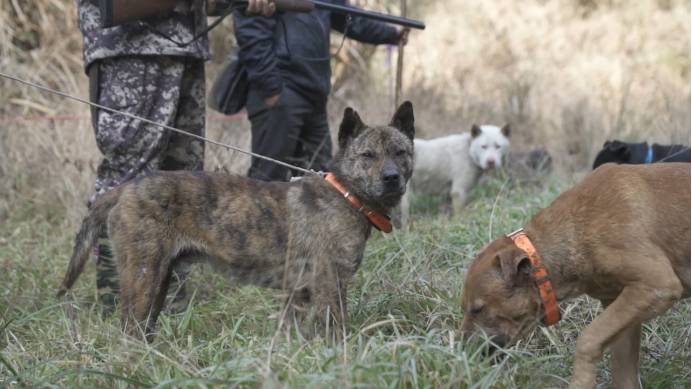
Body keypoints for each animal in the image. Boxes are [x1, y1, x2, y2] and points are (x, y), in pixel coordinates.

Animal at [58, 101, 416, 342]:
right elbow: (338, 333)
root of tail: (125, 188)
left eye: (400, 152)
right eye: (367, 155)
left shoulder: (299, 293)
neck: (347, 195)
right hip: (144, 279)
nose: (391, 178)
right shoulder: (330, 286)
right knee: (127, 331)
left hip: (158, 283)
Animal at [460, 163, 692, 388]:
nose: (462, 352)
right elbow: (623, 374)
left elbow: (588, 339)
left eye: (478, 310)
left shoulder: (656, 285)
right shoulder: (623, 312)